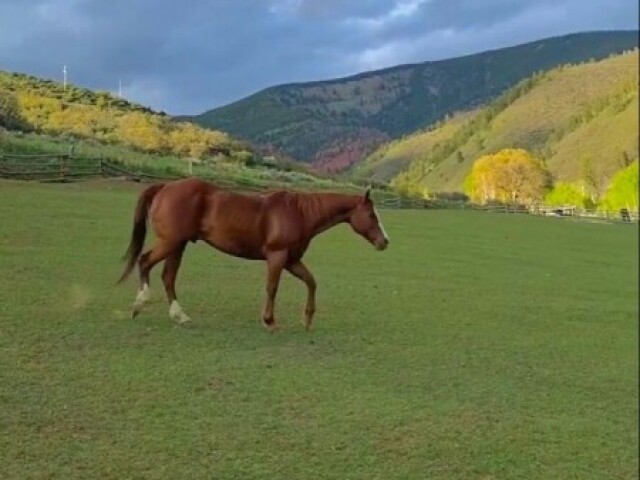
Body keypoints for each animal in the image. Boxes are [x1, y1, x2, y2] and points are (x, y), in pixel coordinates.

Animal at [118, 176, 392, 330]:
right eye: (371, 215)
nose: (385, 242)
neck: (300, 212)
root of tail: (165, 187)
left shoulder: (292, 260)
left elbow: (311, 282)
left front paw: (306, 319)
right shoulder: (277, 257)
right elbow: (272, 287)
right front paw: (269, 321)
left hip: (179, 244)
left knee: (168, 276)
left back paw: (180, 316)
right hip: (171, 242)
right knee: (145, 262)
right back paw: (139, 304)